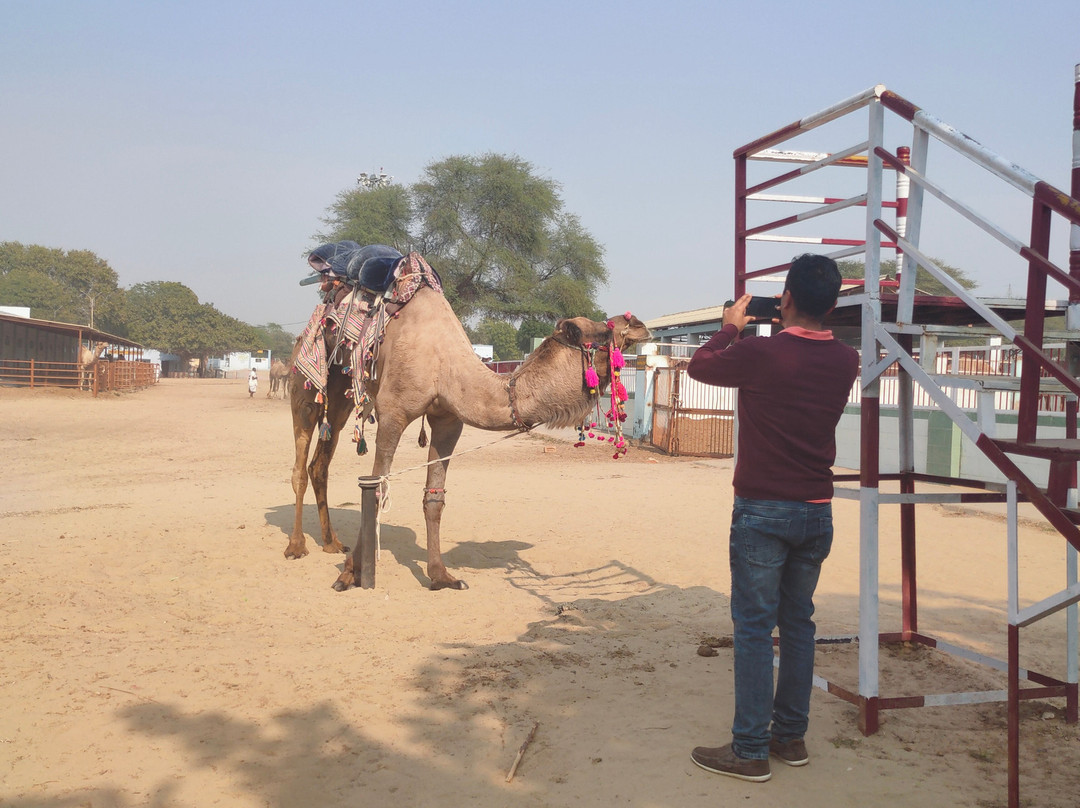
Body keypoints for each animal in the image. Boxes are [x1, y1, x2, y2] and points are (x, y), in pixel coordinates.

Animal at [282, 280, 648, 591]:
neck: (446, 366)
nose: (638, 323)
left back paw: (331, 543)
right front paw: (349, 574)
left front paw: (440, 576)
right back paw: (297, 546)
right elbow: (377, 487)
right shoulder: (392, 412)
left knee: (321, 462)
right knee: (301, 460)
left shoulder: (448, 420)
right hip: (306, 381)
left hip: (341, 395)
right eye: (586, 330)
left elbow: (434, 497)